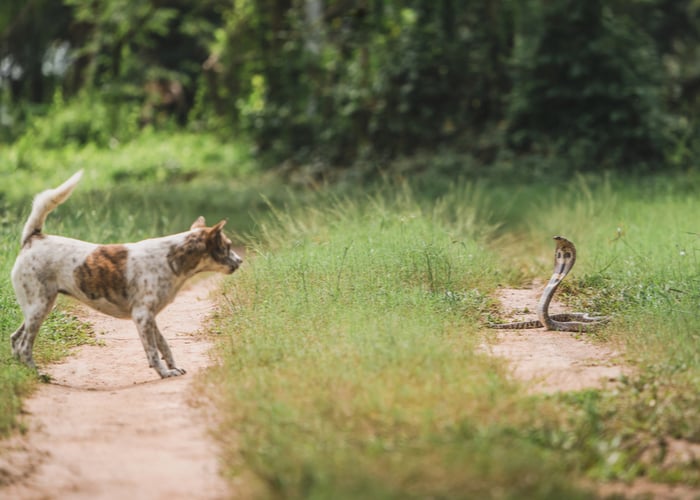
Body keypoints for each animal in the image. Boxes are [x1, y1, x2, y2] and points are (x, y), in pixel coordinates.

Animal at [9, 170, 245, 376]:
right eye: (228, 246)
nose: (241, 261)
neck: (171, 258)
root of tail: (34, 238)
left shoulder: (150, 318)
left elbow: (164, 346)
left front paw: (173, 368)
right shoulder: (142, 317)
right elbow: (152, 352)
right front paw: (163, 373)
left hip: (40, 308)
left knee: (14, 339)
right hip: (39, 308)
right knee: (24, 346)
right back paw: (38, 375)